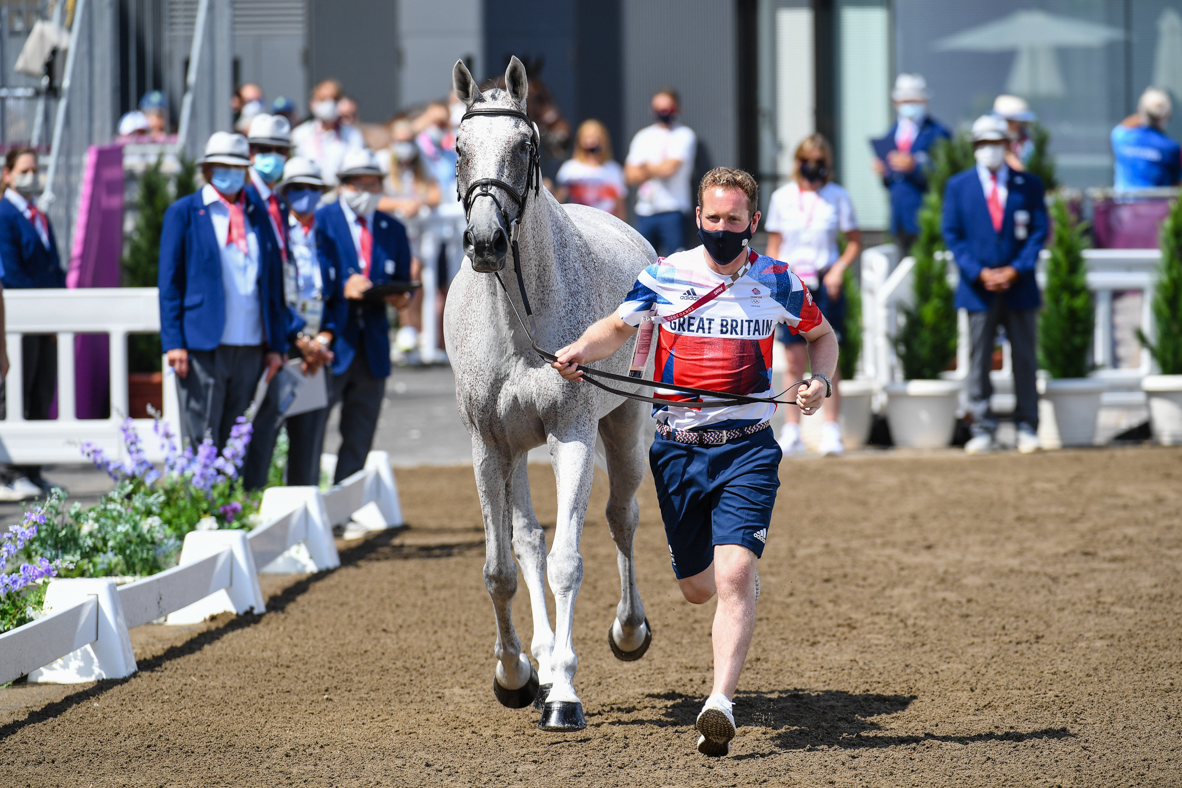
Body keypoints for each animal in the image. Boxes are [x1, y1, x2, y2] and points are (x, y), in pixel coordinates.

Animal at [446, 57, 661, 732]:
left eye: (524, 145)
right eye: (459, 147)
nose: (486, 242)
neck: (521, 323)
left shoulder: (572, 435)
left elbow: (569, 561)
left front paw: (564, 692)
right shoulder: (488, 446)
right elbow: (502, 567)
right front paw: (517, 674)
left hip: (625, 428)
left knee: (622, 517)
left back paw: (628, 631)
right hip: (516, 451)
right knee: (528, 542)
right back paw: (537, 662)